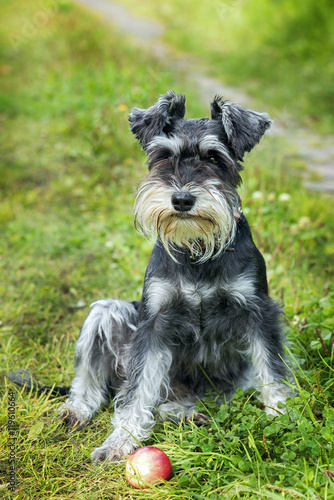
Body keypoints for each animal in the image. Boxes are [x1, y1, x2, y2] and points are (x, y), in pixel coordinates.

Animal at [7, 93, 290, 460]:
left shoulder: (258, 312)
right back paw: (76, 410)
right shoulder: (154, 323)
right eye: (163, 155)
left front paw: (283, 418)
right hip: (106, 312)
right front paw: (119, 442)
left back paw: (189, 414)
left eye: (214, 157)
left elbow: (272, 370)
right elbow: (137, 389)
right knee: (97, 385)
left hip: (229, 382)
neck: (196, 250)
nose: (182, 199)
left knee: (190, 401)